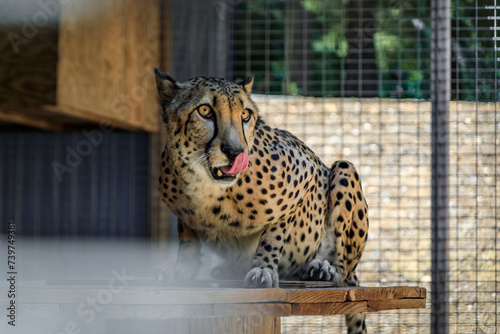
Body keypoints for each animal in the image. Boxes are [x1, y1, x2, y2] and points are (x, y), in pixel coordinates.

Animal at [154, 68, 370, 334]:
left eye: (245, 115)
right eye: (205, 111)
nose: (235, 151)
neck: (205, 184)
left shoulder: (306, 171)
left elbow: (274, 232)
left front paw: (263, 268)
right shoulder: (183, 214)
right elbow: (187, 239)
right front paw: (182, 269)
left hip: (344, 169)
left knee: (346, 272)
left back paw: (323, 269)